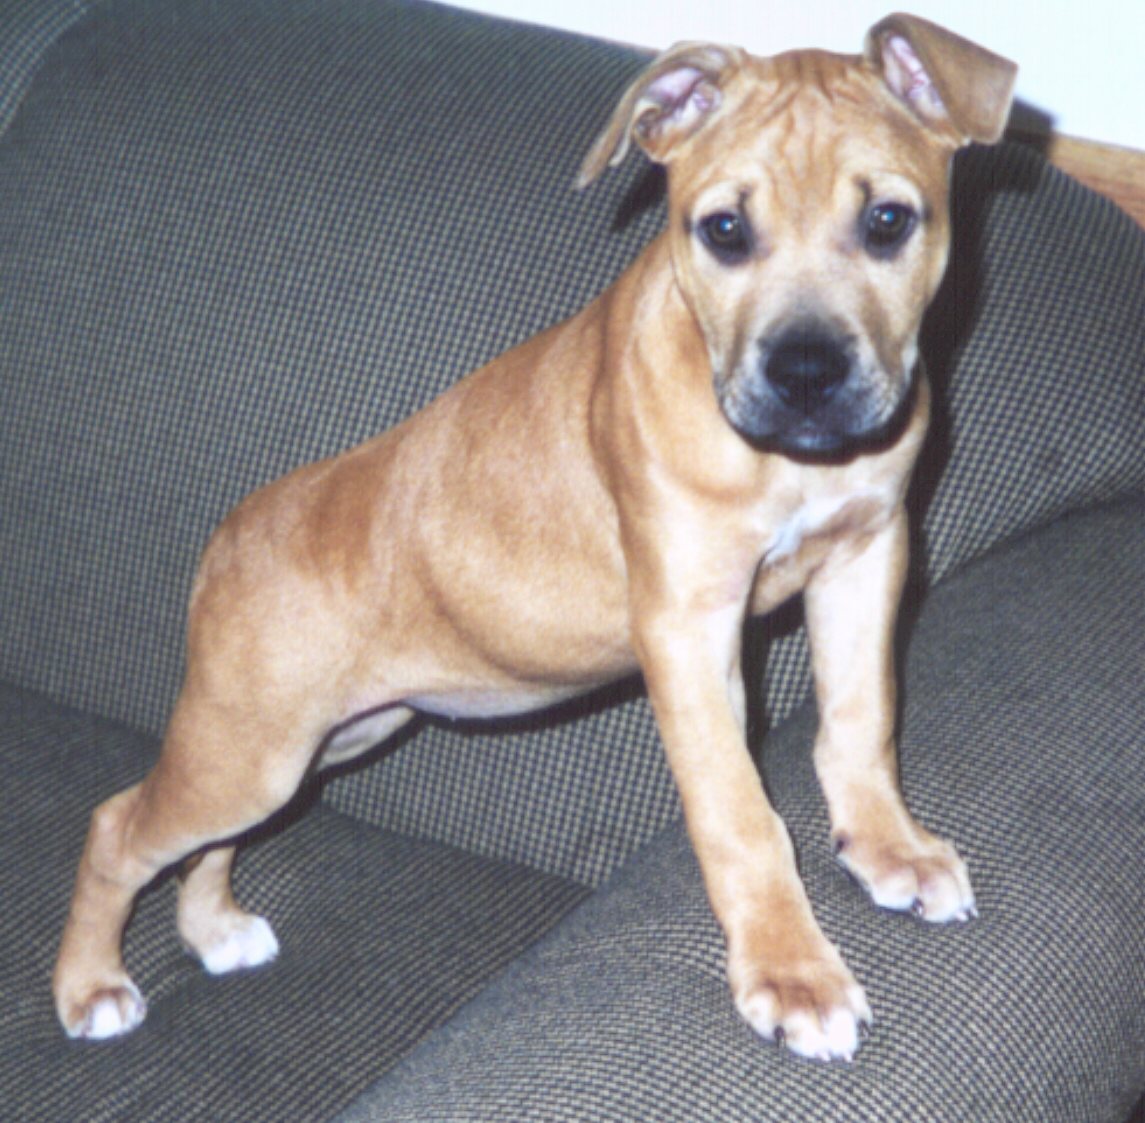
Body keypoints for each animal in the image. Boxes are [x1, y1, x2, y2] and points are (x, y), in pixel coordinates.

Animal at [55, 13, 1021, 1057]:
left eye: (887, 221)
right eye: (724, 230)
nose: (805, 374)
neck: (788, 461)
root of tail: (231, 534)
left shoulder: (865, 558)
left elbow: (859, 721)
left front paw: (887, 848)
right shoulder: (687, 627)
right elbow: (740, 812)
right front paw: (789, 971)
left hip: (326, 738)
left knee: (205, 840)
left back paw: (212, 928)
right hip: (247, 747)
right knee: (117, 825)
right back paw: (90, 983)